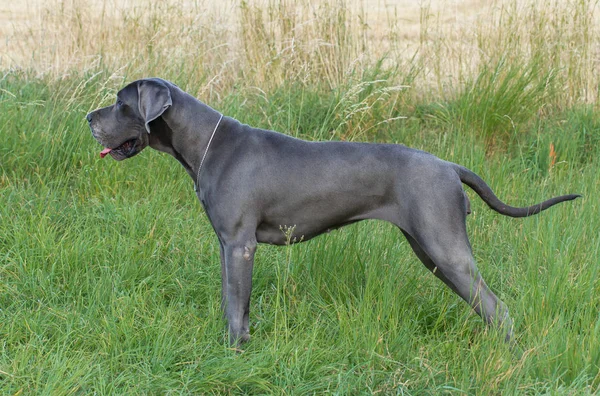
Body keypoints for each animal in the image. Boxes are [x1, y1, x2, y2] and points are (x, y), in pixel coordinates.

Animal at [86, 77, 580, 344]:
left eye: (121, 102)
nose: (88, 119)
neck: (205, 142)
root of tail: (449, 166)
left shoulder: (240, 244)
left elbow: (235, 306)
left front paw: (234, 352)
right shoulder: (229, 247)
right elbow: (235, 305)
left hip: (445, 248)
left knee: (499, 308)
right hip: (430, 251)